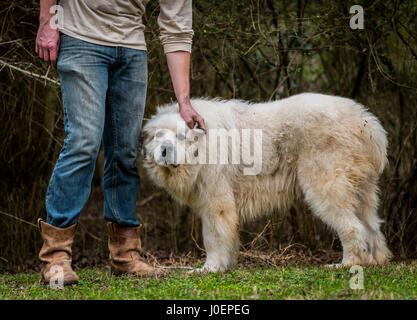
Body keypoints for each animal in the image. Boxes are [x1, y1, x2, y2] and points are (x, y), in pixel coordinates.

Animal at [141, 93, 392, 272]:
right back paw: (376, 260)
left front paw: (210, 268)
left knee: (352, 227)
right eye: (158, 136)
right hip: (362, 190)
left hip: (324, 185)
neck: (202, 147)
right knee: (371, 226)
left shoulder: (216, 201)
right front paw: (225, 265)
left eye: (180, 136)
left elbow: (214, 236)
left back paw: (348, 263)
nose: (165, 151)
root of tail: (368, 124)